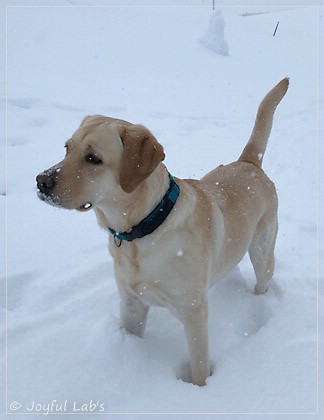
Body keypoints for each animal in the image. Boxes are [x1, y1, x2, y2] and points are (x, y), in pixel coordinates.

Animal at [36, 77, 288, 386]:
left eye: (94, 158)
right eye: (67, 148)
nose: (41, 181)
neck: (141, 231)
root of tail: (248, 162)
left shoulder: (193, 312)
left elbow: (199, 366)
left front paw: (200, 390)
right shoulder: (131, 303)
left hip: (263, 251)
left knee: (263, 277)